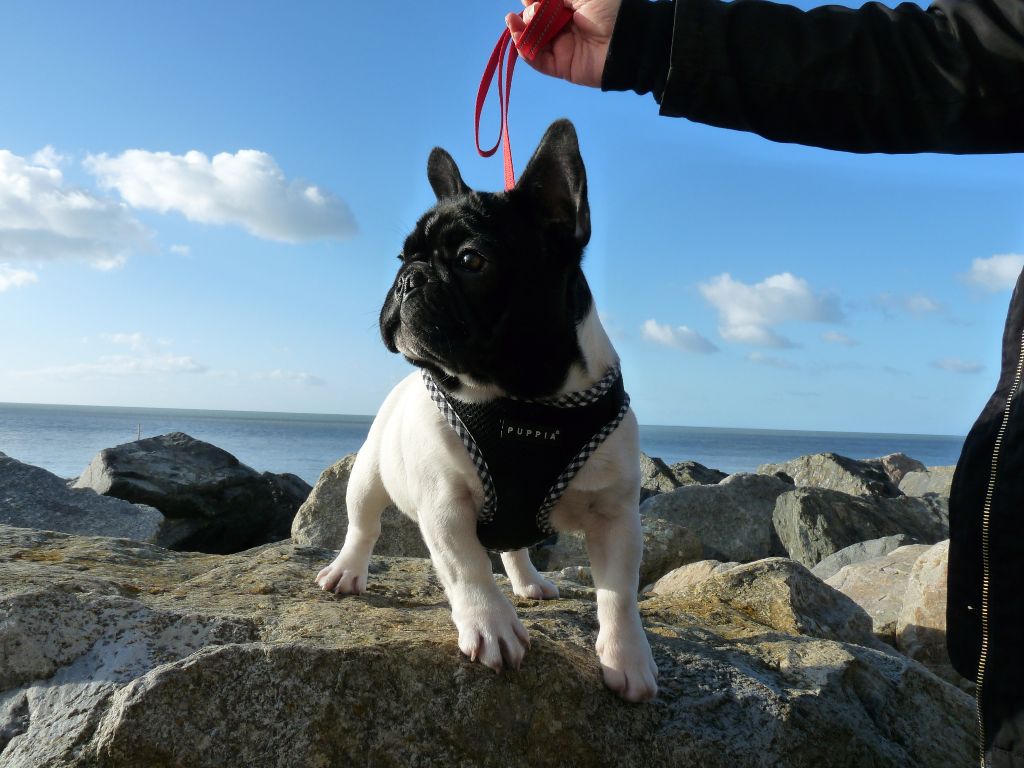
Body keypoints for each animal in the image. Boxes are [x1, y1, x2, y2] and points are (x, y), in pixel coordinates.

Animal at [315, 118, 659, 704]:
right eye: (402, 257)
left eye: (471, 261)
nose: (408, 278)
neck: (521, 397)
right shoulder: (444, 504)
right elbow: (467, 567)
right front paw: (491, 625)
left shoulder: (616, 516)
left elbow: (618, 593)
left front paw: (627, 657)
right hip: (367, 476)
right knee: (363, 526)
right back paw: (346, 572)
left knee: (513, 547)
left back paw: (528, 582)